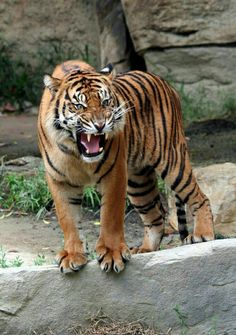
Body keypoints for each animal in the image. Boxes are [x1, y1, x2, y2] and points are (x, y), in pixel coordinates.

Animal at [37, 60, 215, 274]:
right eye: (79, 106)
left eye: (106, 102)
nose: (100, 125)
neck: (78, 154)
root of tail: (166, 83)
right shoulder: (59, 180)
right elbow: (67, 219)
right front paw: (73, 255)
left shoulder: (114, 173)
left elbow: (110, 216)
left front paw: (112, 253)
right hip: (138, 183)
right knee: (155, 216)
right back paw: (145, 250)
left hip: (173, 161)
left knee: (199, 196)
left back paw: (203, 234)